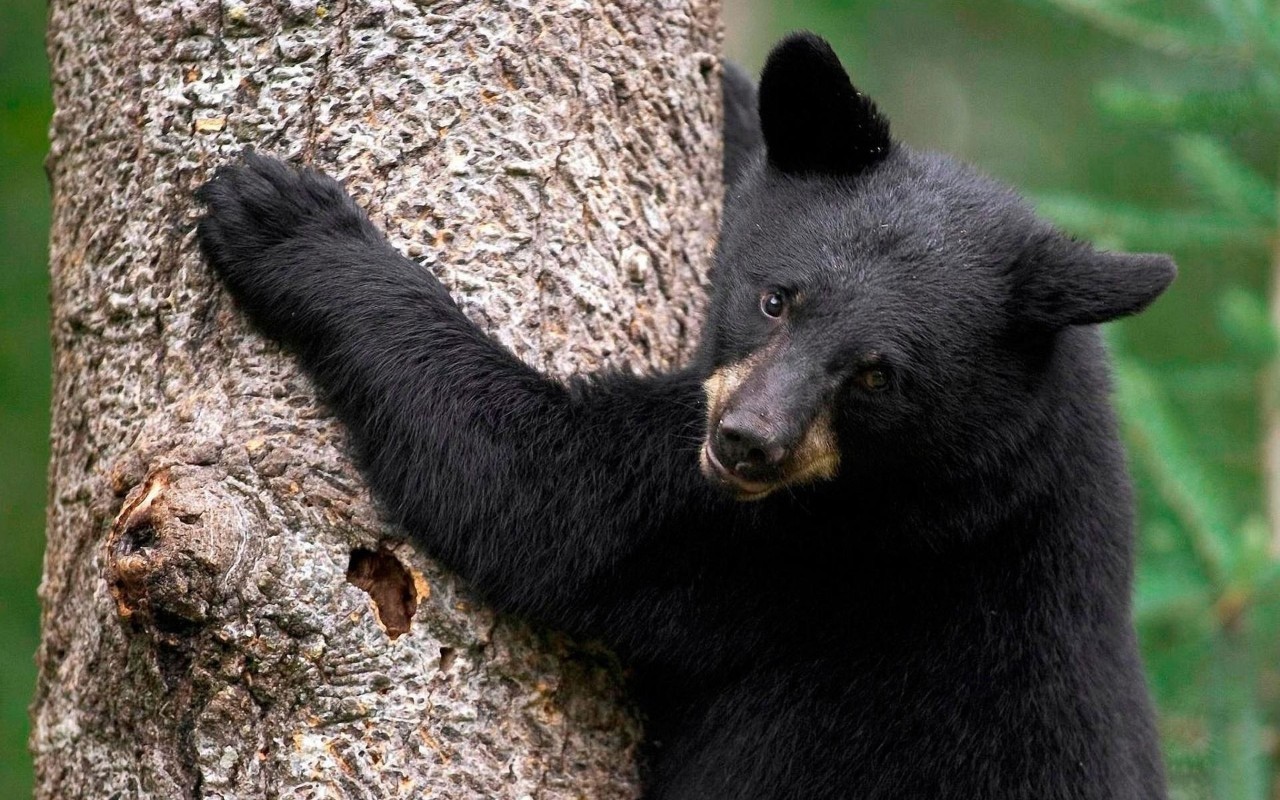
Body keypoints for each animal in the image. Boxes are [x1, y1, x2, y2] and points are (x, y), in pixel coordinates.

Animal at [197, 32, 1172, 798]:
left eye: (876, 376)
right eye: (777, 297)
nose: (746, 442)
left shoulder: (822, 544)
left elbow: (545, 499)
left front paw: (288, 222)